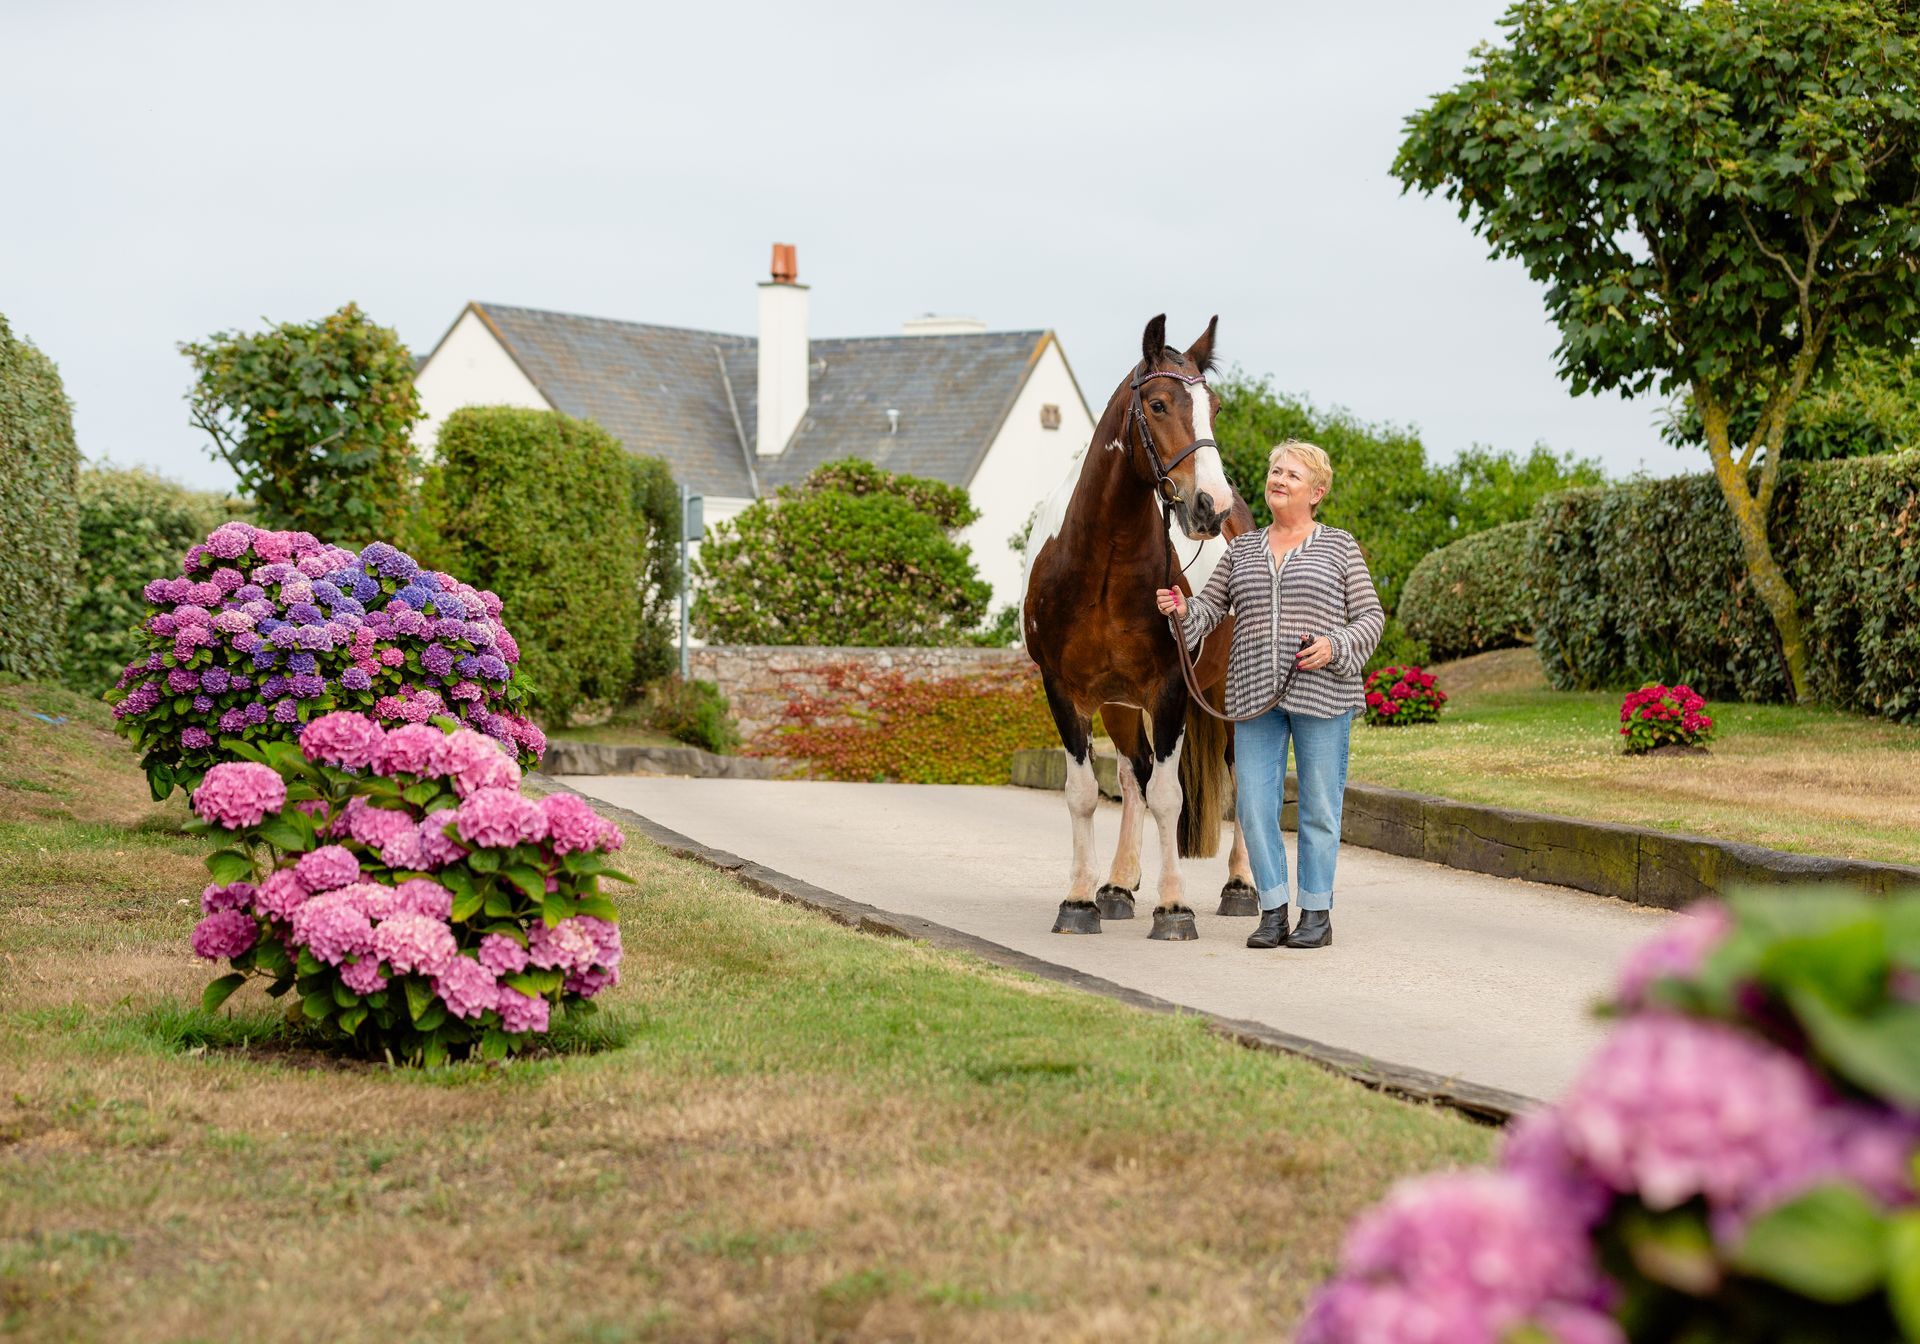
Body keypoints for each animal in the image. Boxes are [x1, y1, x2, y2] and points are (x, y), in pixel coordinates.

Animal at [1020, 314, 1259, 941]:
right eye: (1157, 403)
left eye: (1214, 407)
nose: (1209, 506)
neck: (1102, 564)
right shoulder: (1066, 690)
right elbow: (1084, 793)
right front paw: (1080, 901)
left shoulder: (1171, 687)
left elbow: (1169, 798)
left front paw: (1174, 908)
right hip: (1118, 703)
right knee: (1134, 772)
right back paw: (1118, 885)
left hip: (1225, 691)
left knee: (1240, 778)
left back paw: (1241, 887)